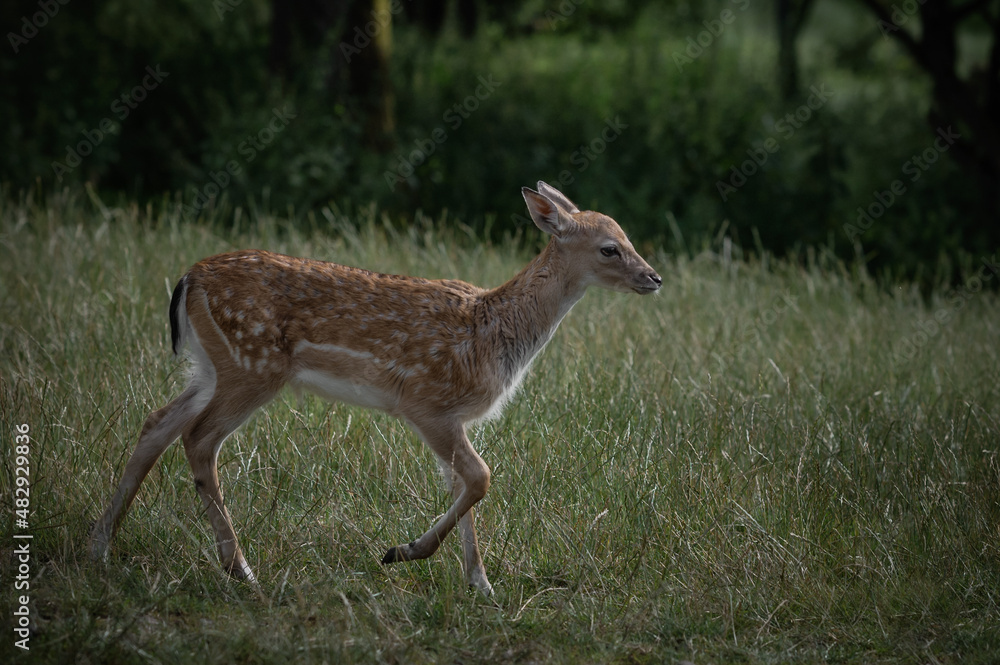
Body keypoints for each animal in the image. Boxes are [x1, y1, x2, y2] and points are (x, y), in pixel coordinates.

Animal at [88, 183, 664, 596]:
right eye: (610, 249)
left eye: (629, 239)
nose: (655, 278)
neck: (494, 331)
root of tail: (188, 279)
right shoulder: (425, 403)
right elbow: (481, 477)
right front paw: (403, 552)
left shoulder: (452, 417)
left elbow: (464, 489)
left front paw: (481, 586)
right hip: (251, 365)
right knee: (199, 438)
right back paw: (242, 570)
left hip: (213, 367)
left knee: (158, 423)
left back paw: (100, 547)